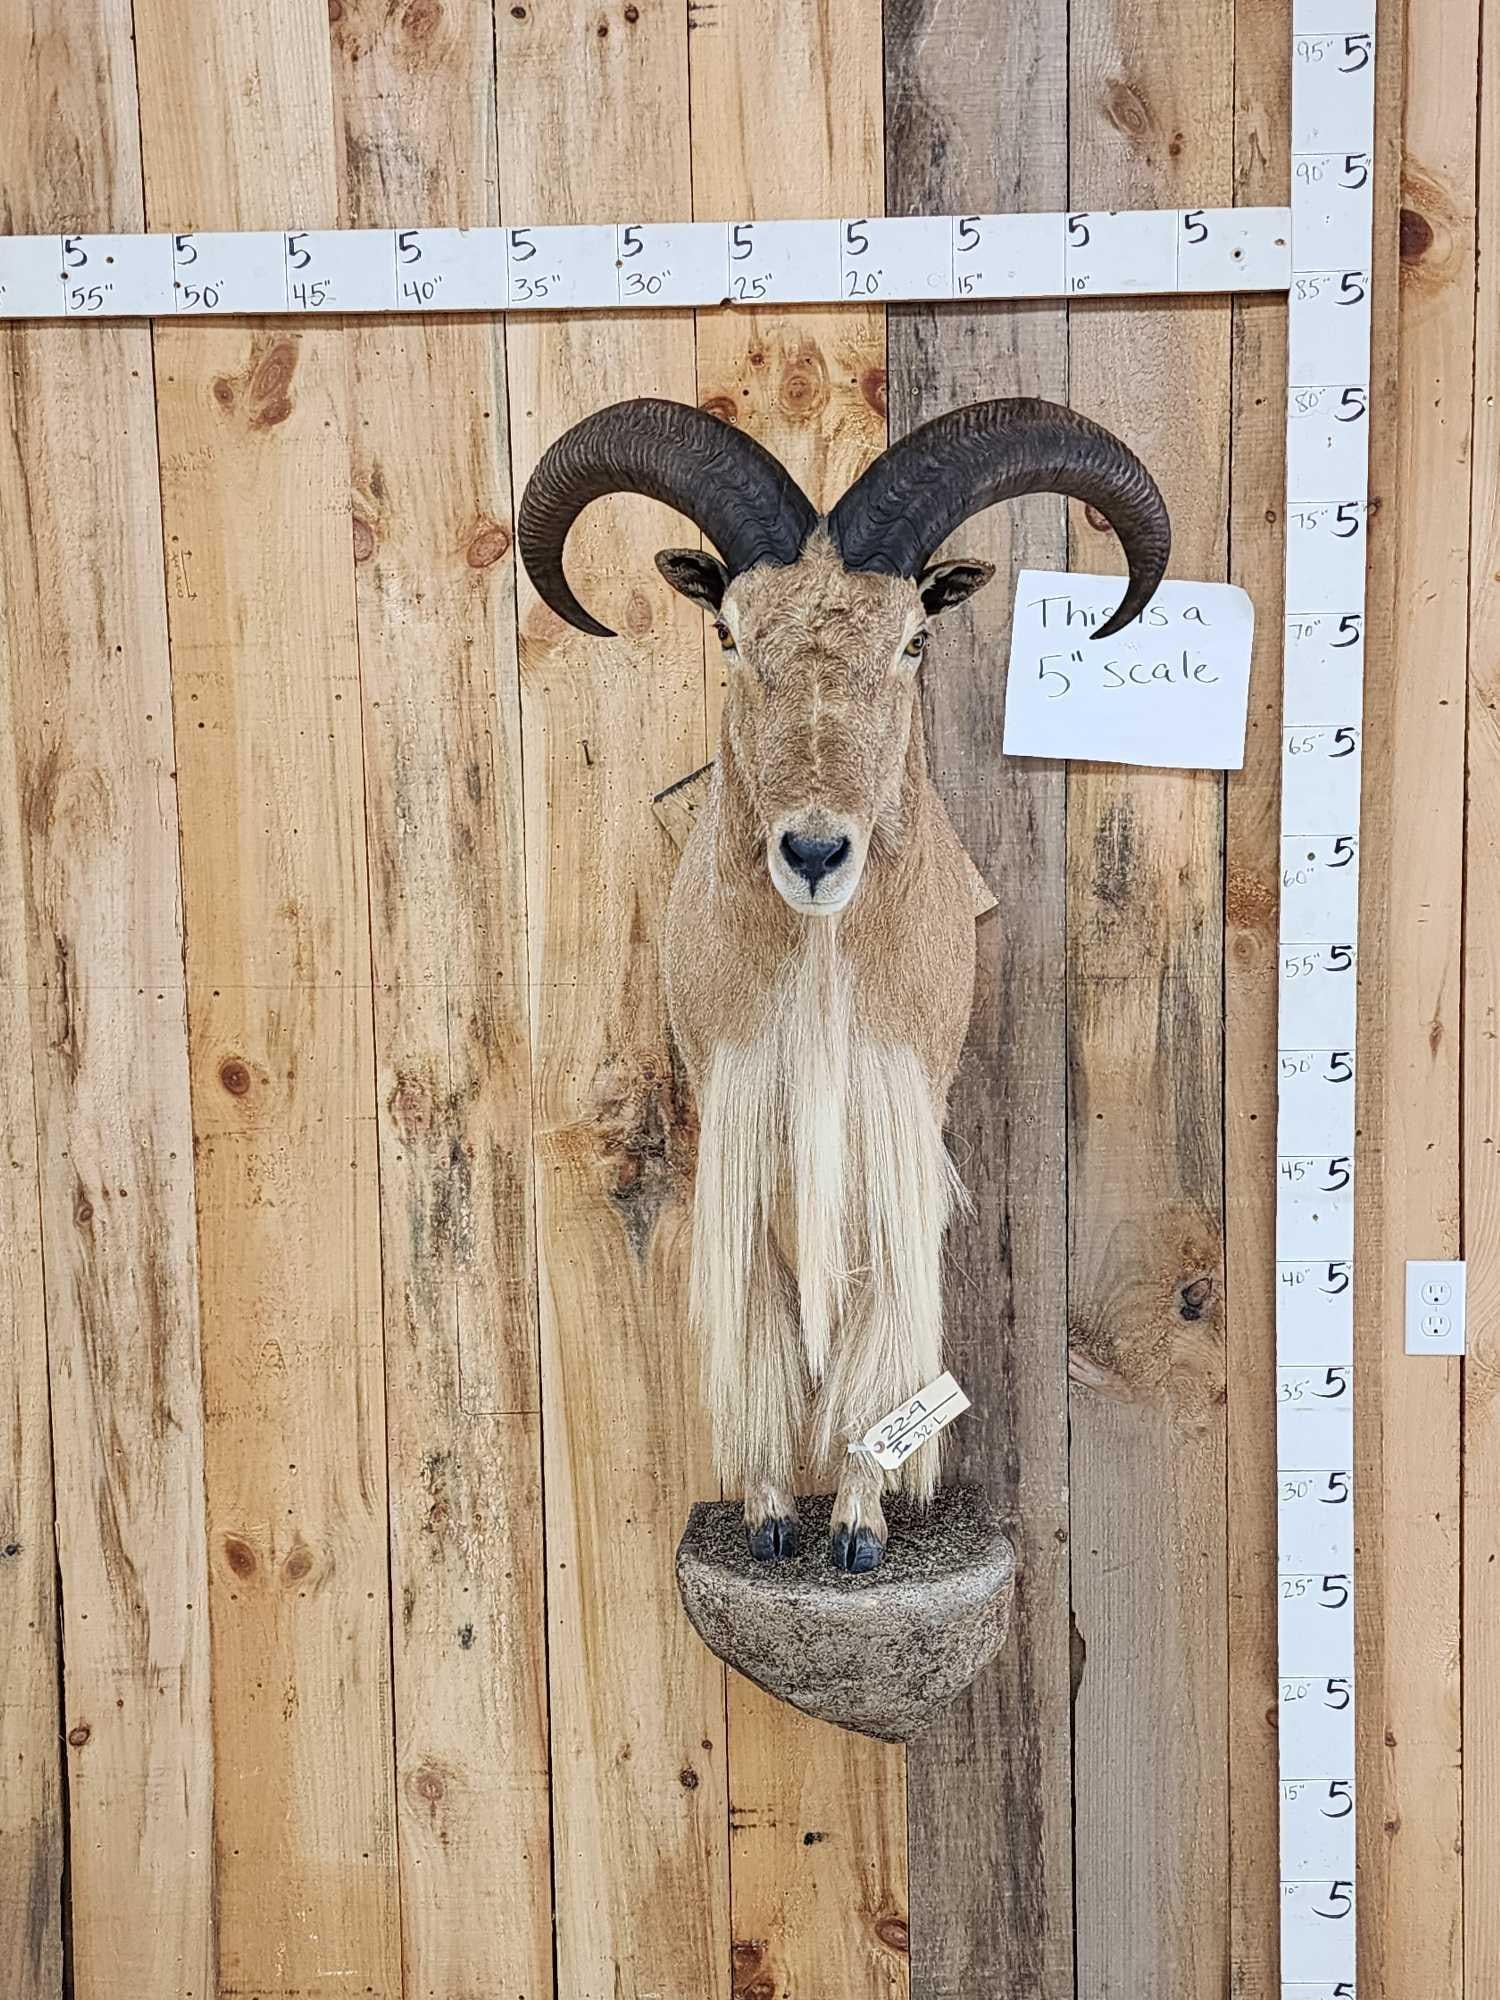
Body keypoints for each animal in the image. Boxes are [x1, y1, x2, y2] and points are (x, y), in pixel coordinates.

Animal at [518, 395, 1169, 1572]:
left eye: (912, 638)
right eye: (731, 633)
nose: (815, 853)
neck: (820, 972)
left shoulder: (895, 1112)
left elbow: (881, 1310)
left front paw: (859, 1528)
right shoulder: (740, 1116)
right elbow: (764, 1314)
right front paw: (773, 1515)